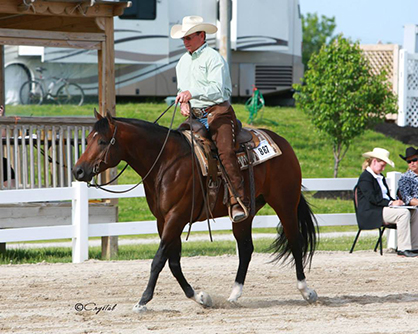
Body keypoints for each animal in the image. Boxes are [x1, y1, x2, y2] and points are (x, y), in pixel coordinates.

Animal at [72, 111, 320, 312]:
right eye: (87, 140)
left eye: (102, 141)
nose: (78, 171)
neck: (166, 163)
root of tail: (282, 143)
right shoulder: (163, 220)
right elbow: (173, 262)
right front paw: (200, 297)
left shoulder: (176, 217)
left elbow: (159, 260)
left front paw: (142, 301)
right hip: (244, 213)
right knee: (246, 249)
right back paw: (233, 295)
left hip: (284, 202)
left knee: (295, 241)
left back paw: (306, 291)